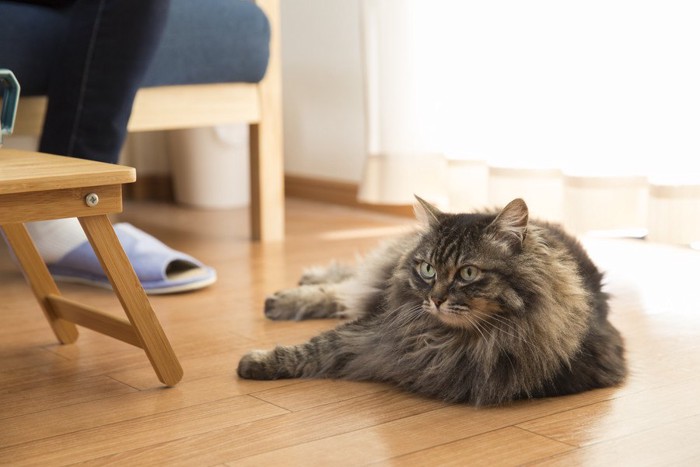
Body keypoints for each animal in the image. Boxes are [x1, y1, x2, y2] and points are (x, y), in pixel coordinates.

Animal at [238, 197, 628, 406]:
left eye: (467, 273)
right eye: (427, 269)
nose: (436, 299)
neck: (448, 340)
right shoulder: (374, 331)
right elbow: (314, 347)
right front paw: (256, 362)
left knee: (348, 292)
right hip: (382, 284)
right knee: (351, 284)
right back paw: (289, 294)